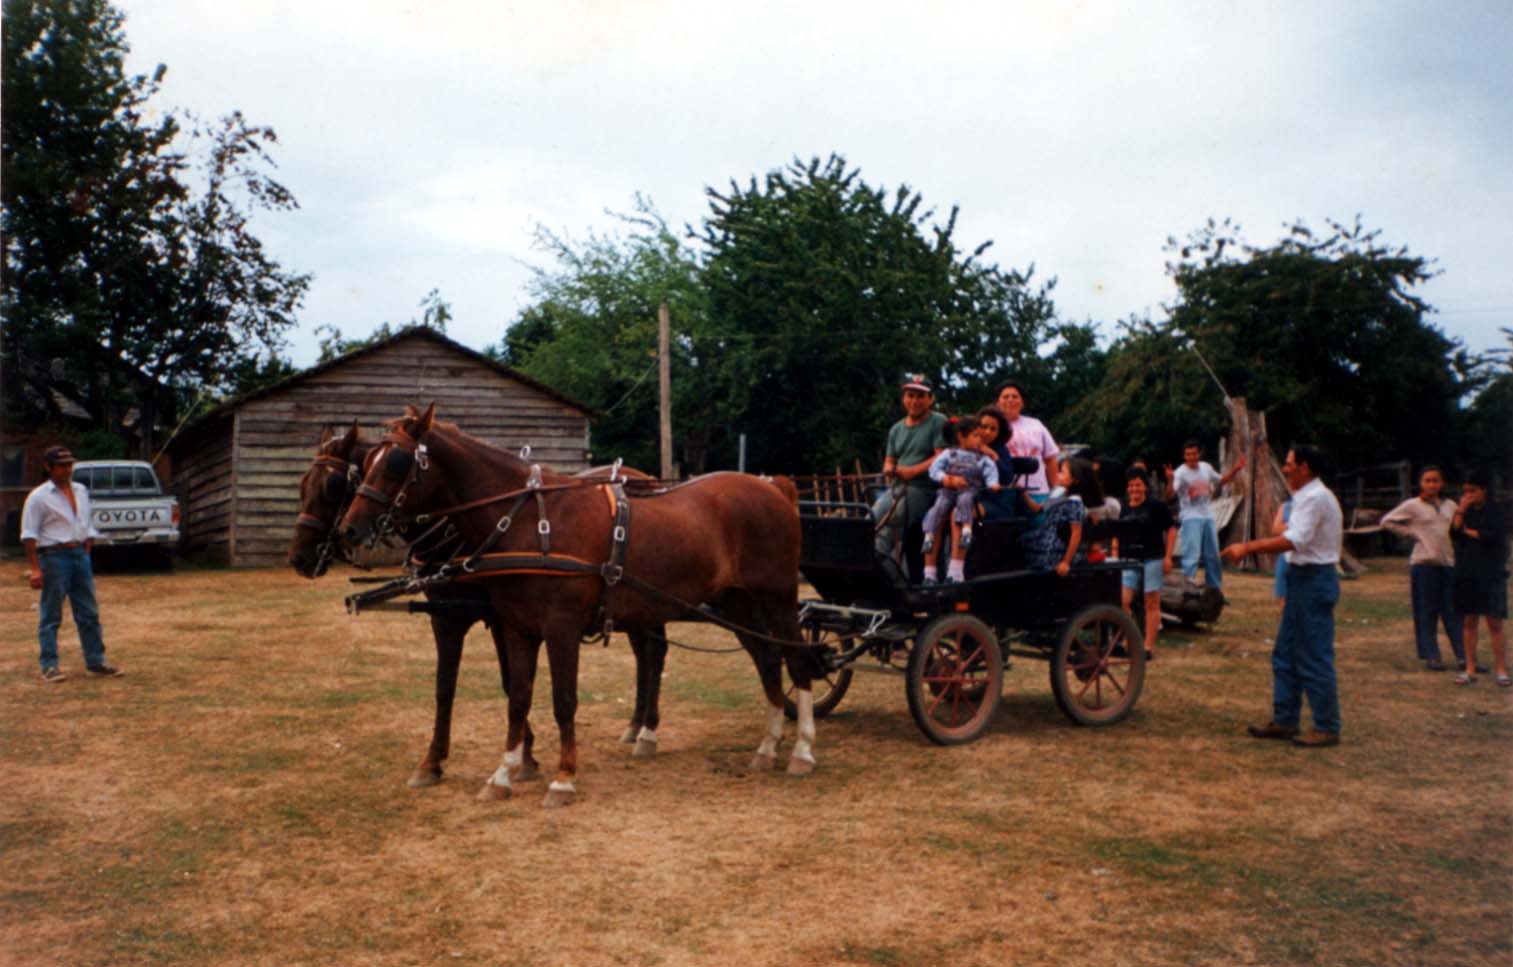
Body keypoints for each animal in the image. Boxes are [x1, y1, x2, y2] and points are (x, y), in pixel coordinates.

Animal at [338, 405, 823, 805]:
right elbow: (518, 698)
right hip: (736, 603)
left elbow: (563, 700)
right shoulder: (516, 628)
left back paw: (801, 749)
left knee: (797, 660)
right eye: (365, 463)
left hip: (778, 598)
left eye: (395, 463)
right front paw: (503, 773)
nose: (349, 529)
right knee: (767, 658)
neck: (530, 522)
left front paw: (563, 778)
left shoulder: (561, 628)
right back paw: (767, 746)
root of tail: (775, 488)